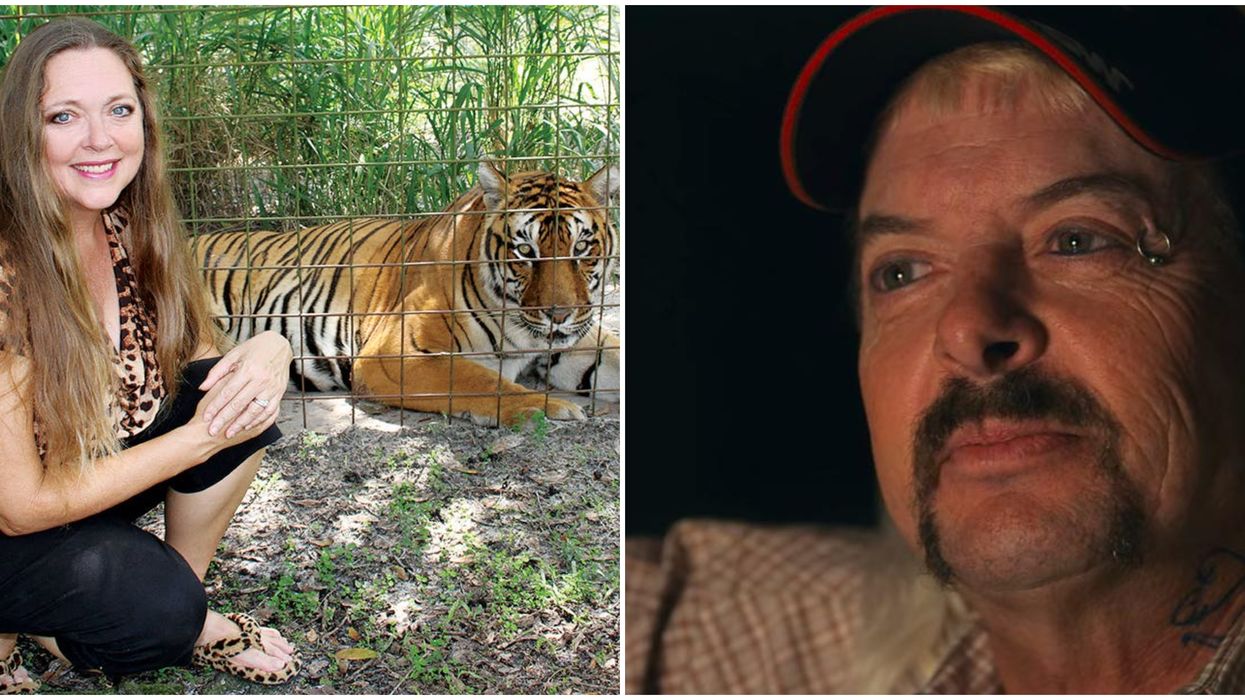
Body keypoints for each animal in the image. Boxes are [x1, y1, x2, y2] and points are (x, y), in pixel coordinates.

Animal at [192, 162, 620, 426]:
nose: (558, 315)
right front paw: (548, 407)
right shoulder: (395, 352)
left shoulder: (572, 341)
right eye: (526, 252)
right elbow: (480, 380)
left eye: (582, 248)